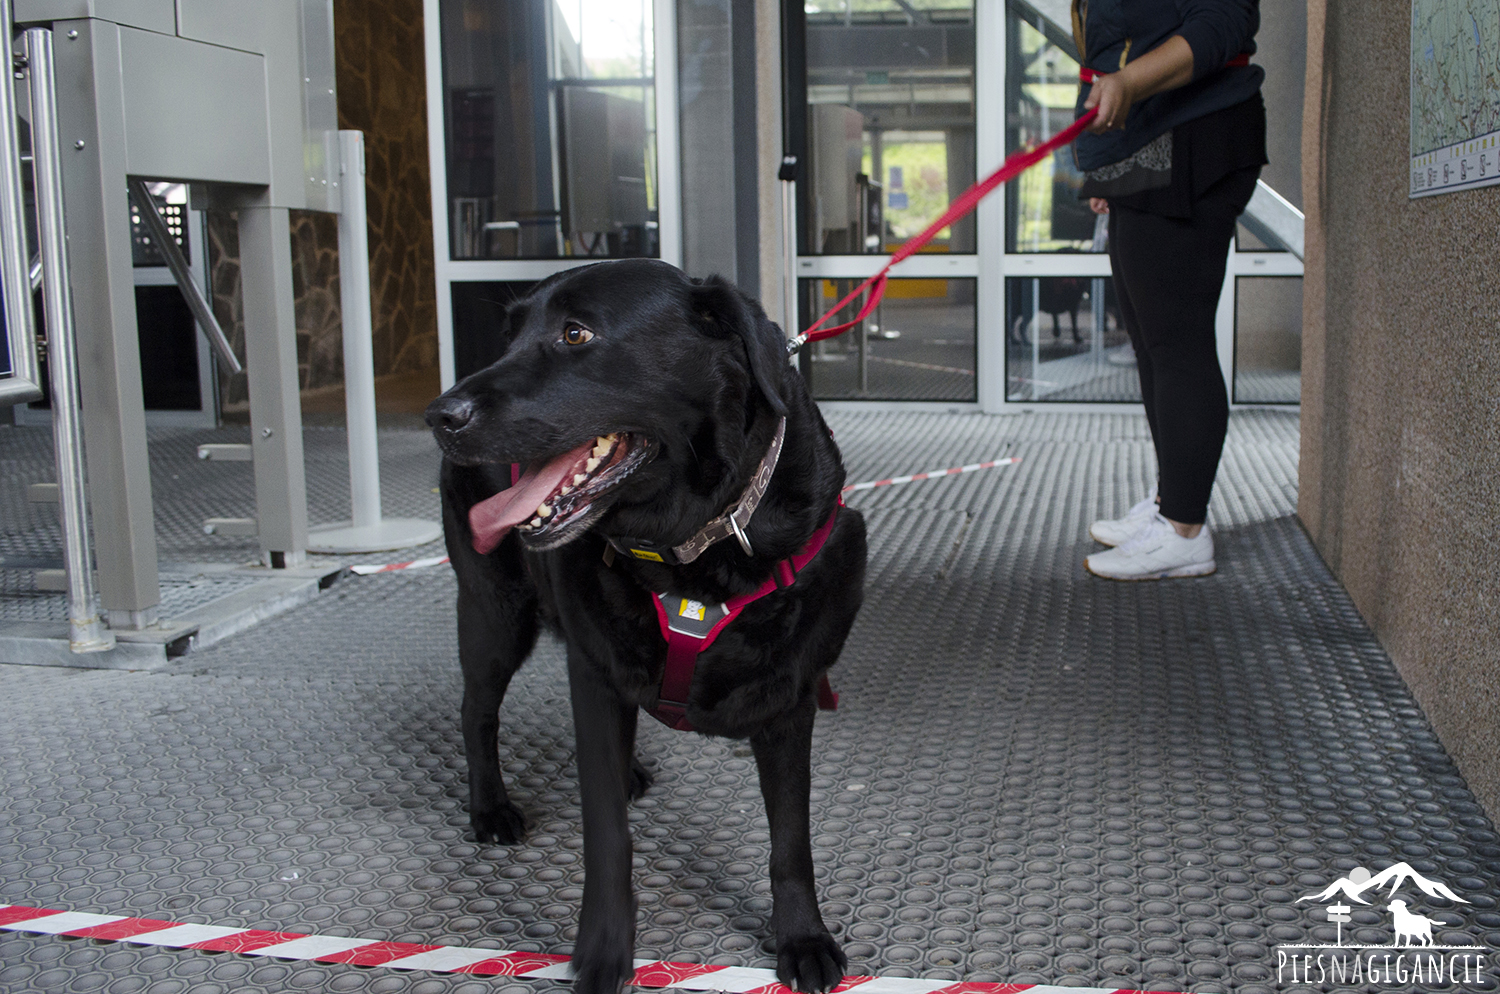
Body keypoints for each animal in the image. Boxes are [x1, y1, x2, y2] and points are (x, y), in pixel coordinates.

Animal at [423, 262, 870, 994]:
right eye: (510, 334)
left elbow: (790, 840)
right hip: (493, 611)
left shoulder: (789, 699)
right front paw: (605, 952)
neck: (696, 543)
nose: (439, 416)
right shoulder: (596, 677)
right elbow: (608, 837)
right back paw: (489, 808)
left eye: (576, 333)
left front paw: (803, 938)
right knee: (475, 710)